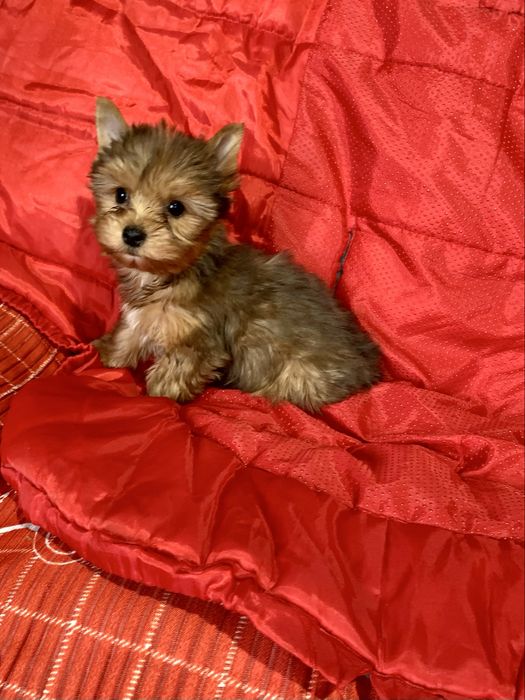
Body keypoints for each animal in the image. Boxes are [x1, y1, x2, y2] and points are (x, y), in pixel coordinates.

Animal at [90, 98, 380, 411]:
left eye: (175, 208)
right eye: (120, 195)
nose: (132, 234)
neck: (174, 271)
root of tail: (368, 369)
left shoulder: (199, 341)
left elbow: (174, 372)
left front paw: (160, 397)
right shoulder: (142, 316)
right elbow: (128, 335)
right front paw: (107, 354)